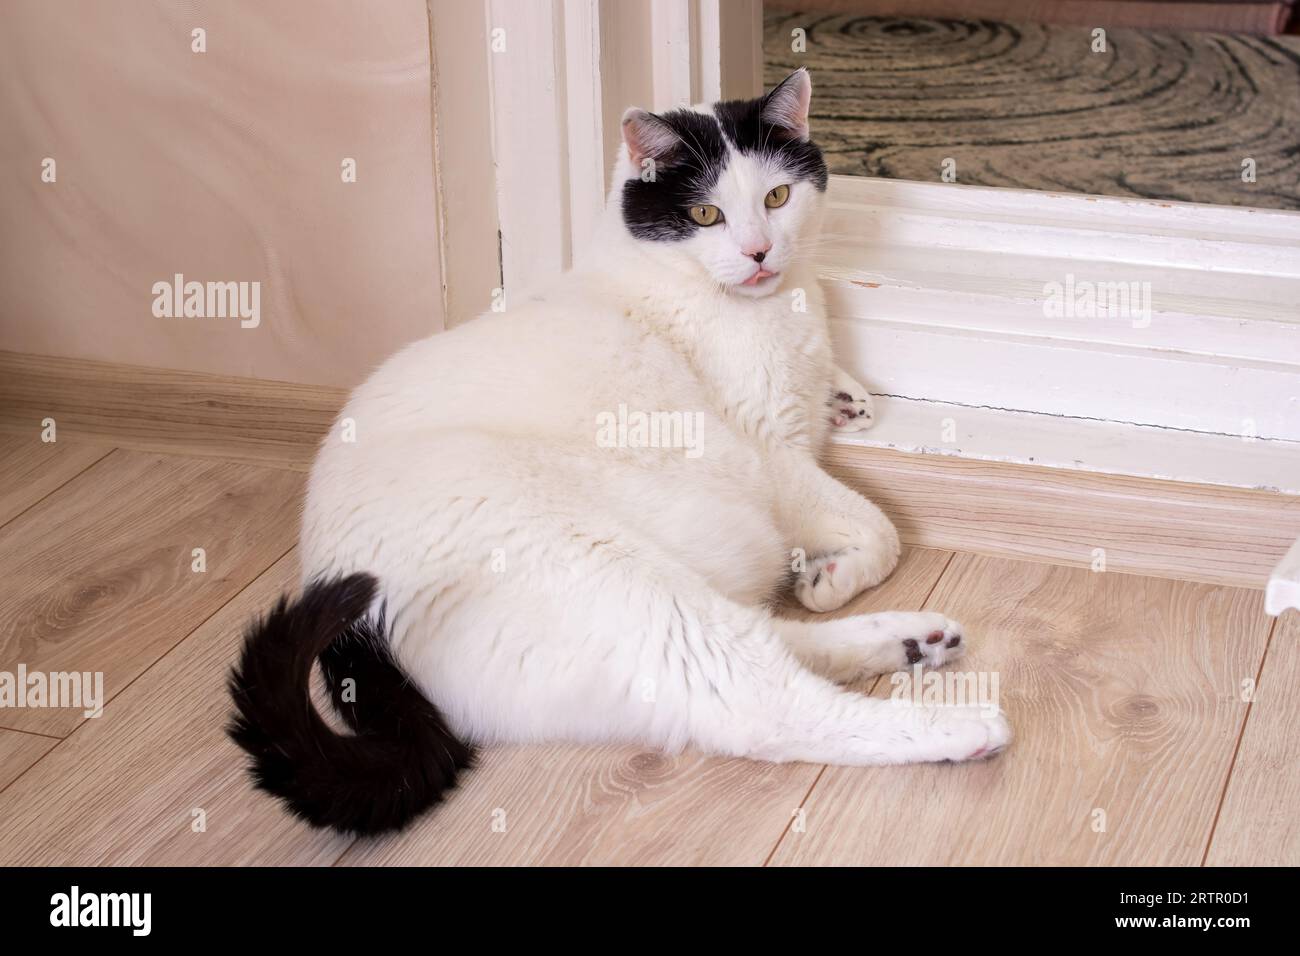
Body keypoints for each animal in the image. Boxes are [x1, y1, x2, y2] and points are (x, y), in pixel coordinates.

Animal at [228, 69, 1008, 837]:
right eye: (705, 216)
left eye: (777, 197)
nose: (760, 252)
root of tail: (351, 625)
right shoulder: (771, 459)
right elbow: (883, 531)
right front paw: (835, 575)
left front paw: (847, 398)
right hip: (626, 582)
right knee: (763, 704)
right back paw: (960, 724)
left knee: (765, 643)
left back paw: (913, 640)